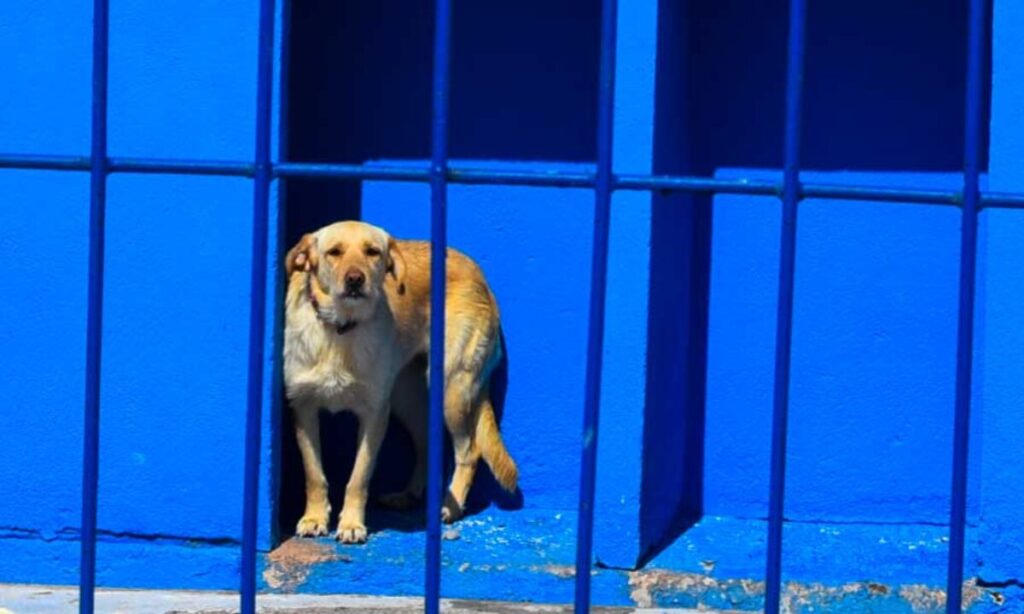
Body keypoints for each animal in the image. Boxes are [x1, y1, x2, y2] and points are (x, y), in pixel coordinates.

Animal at [282, 218, 516, 540]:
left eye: (372, 252)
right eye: (334, 252)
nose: (355, 279)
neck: (341, 328)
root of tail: (480, 276)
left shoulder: (374, 415)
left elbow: (358, 477)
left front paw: (351, 523)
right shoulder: (303, 408)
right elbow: (314, 473)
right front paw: (314, 517)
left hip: (451, 389)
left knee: (469, 451)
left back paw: (451, 505)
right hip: (407, 399)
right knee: (426, 445)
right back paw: (410, 495)